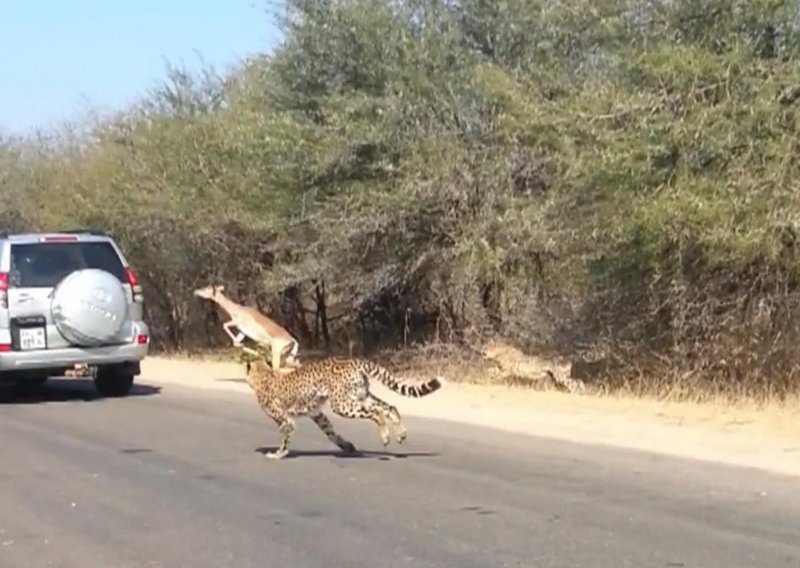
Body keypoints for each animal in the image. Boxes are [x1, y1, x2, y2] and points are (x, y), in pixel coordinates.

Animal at [244, 356, 444, 462]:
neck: (263, 374)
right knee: (390, 407)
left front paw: (278, 454)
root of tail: (353, 360)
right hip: (361, 396)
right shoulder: (317, 414)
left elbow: (285, 437)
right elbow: (331, 433)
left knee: (377, 413)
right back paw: (400, 434)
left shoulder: (285, 419)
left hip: (342, 404)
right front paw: (346, 445)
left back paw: (386, 436)